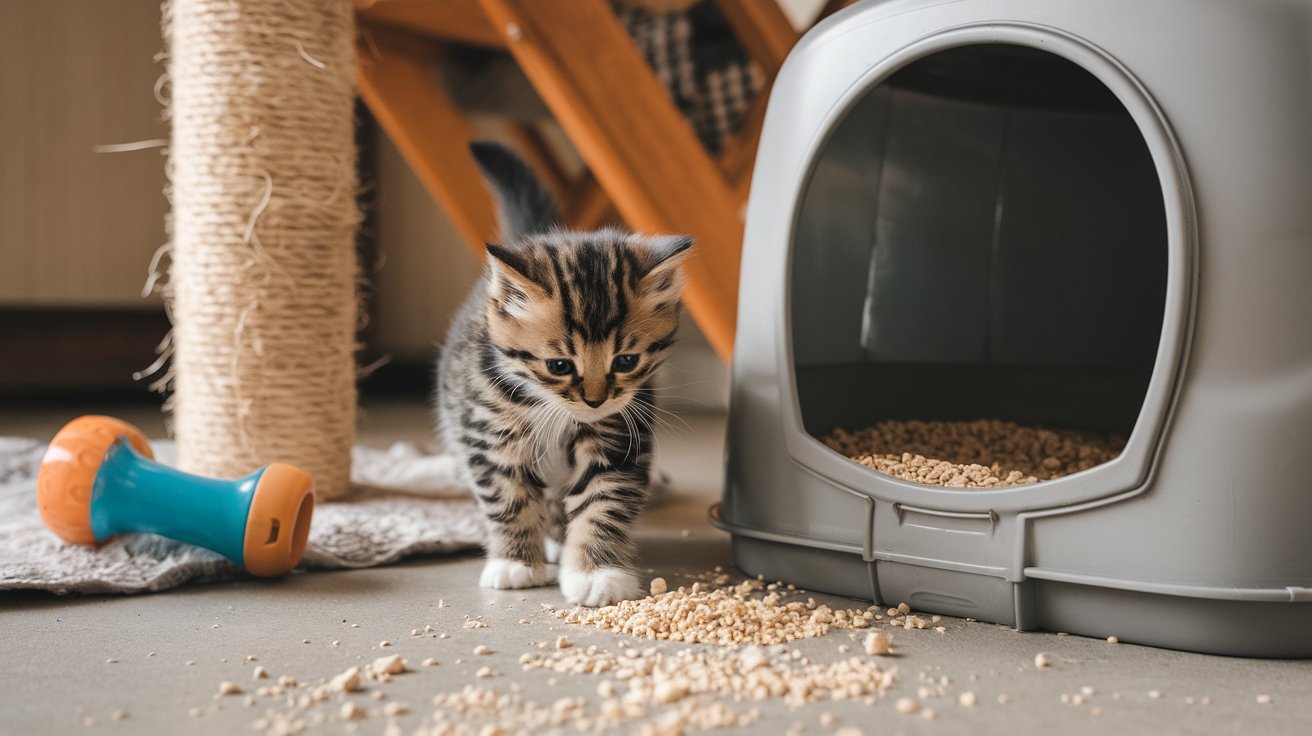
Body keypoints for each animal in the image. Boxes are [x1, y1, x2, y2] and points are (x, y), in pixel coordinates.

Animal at [435, 140, 692, 606]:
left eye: (625, 361)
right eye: (559, 366)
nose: (595, 400)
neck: (554, 409)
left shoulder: (618, 436)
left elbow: (603, 502)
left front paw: (596, 573)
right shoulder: (489, 433)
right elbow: (508, 498)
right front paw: (515, 562)